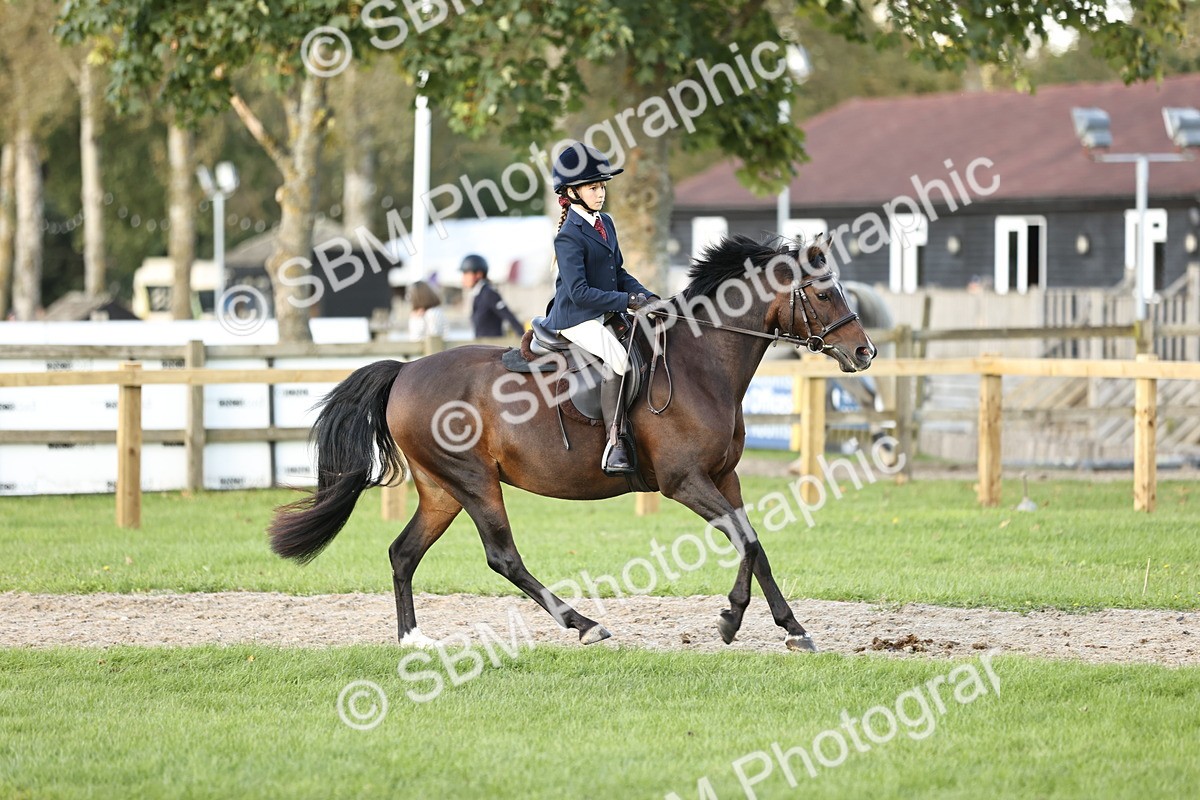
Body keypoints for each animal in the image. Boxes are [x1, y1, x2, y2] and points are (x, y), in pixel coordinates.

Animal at [268, 235, 876, 651]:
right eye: (824, 292)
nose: (864, 352)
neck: (703, 364)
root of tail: (405, 371)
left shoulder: (724, 477)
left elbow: (756, 545)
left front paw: (792, 628)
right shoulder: (685, 482)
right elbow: (747, 543)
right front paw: (730, 620)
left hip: (441, 489)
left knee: (403, 553)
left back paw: (412, 638)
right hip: (474, 482)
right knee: (502, 556)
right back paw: (582, 624)